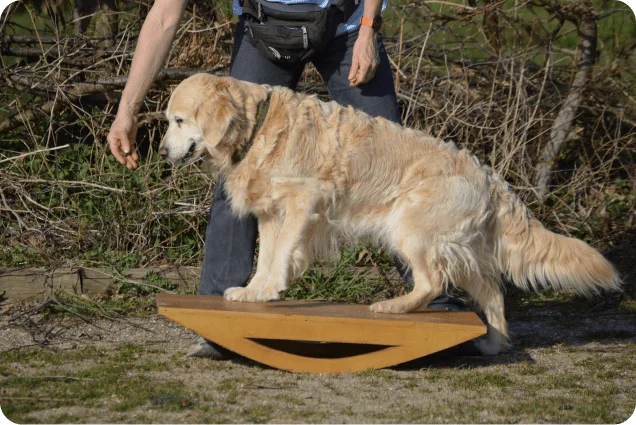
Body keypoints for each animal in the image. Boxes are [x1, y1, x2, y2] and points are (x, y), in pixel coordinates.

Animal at [159, 73, 620, 354]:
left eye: (179, 120)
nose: (162, 152)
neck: (257, 126)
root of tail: (488, 173)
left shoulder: (302, 202)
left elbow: (280, 256)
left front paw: (270, 289)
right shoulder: (272, 213)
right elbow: (266, 258)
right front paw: (254, 292)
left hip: (410, 228)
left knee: (433, 283)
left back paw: (393, 308)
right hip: (455, 245)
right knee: (490, 289)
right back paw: (492, 341)